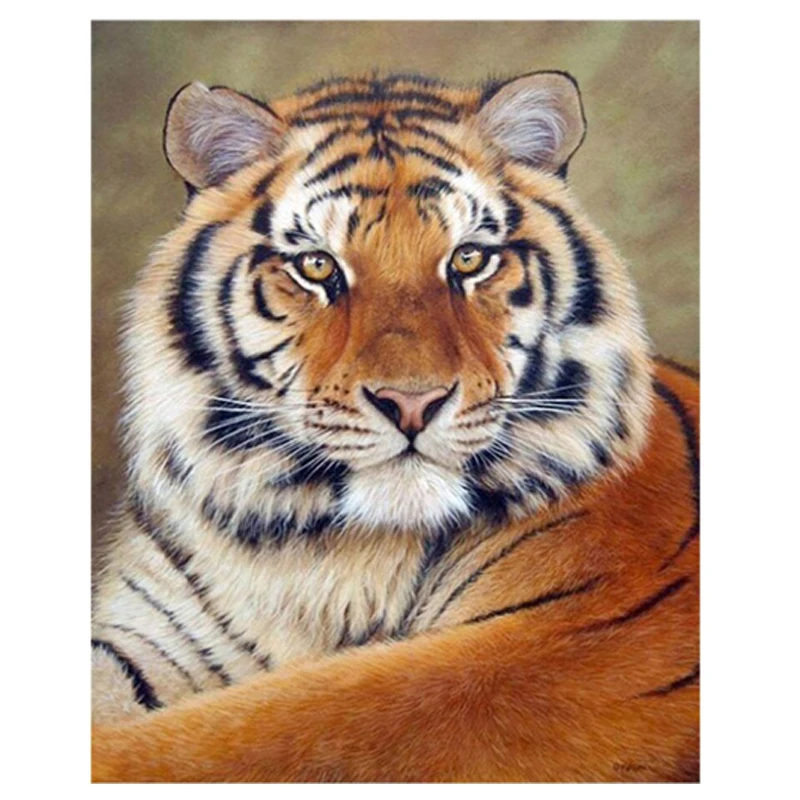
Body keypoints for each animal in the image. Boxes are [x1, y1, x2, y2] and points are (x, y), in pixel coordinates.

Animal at [91, 70, 699, 782]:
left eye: (468, 260)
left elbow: (269, 729)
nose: (412, 402)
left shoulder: (560, 644)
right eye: (317, 266)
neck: (320, 553)